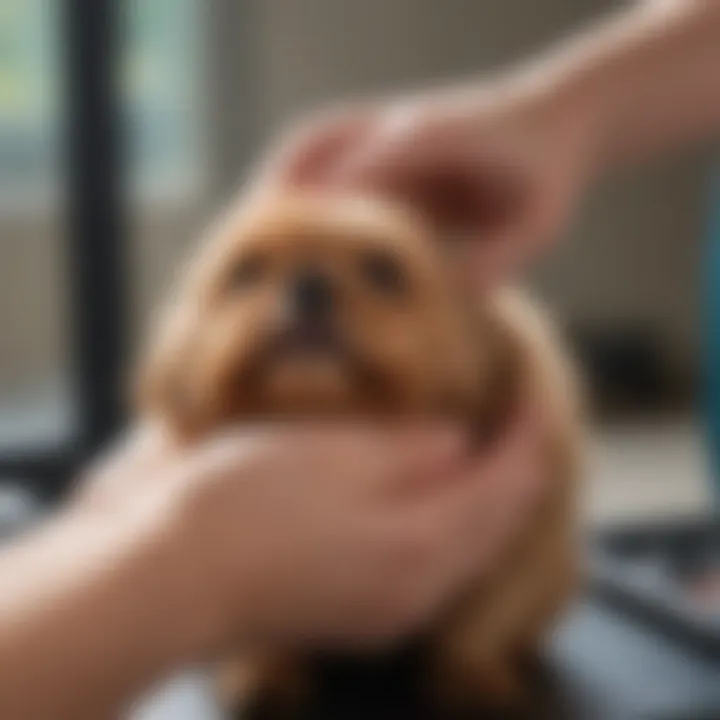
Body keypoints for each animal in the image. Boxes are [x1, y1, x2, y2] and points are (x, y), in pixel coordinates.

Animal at [138, 191, 584, 720]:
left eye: (383, 270)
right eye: (246, 271)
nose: (310, 283)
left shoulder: (526, 549)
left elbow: (479, 628)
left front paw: (471, 679)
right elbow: (262, 629)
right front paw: (264, 672)